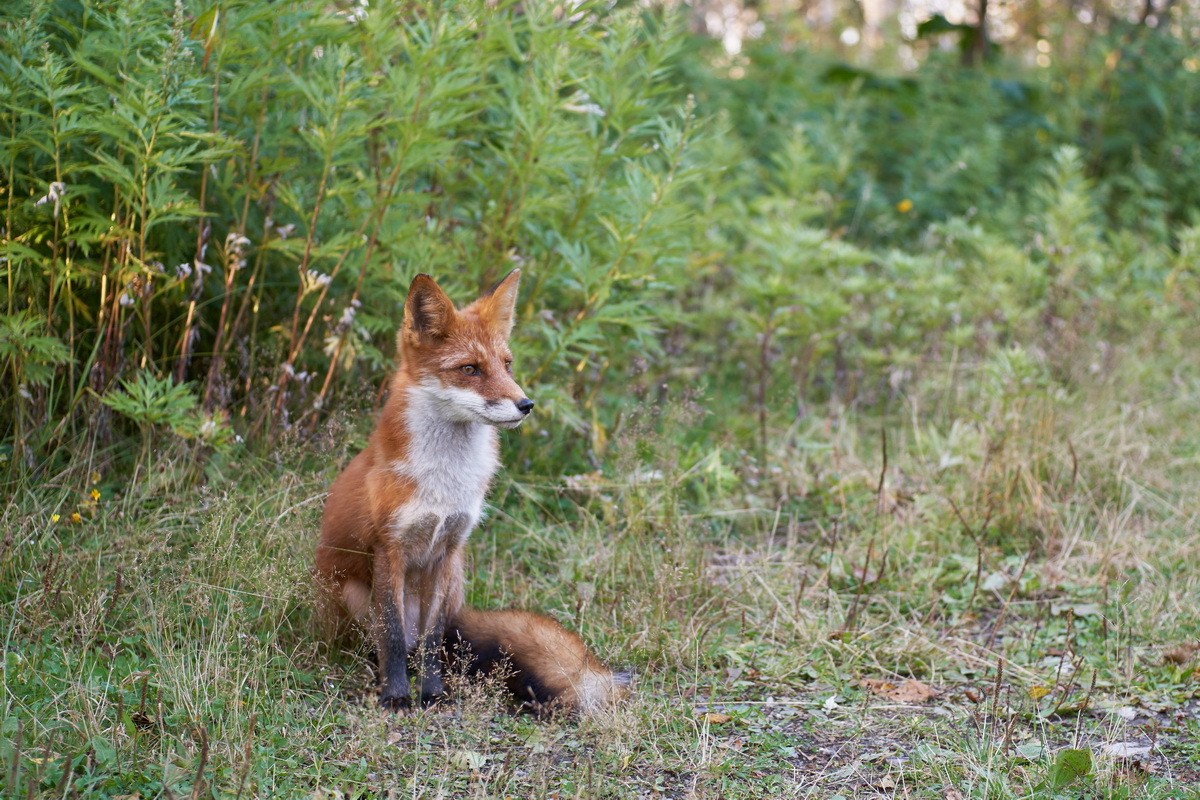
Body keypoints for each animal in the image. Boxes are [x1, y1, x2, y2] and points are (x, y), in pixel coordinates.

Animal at [314, 271, 624, 714]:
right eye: (470, 369)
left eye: (507, 364)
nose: (526, 404)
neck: (446, 483)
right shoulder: (389, 548)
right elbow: (391, 635)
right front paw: (396, 696)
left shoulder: (447, 549)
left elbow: (430, 638)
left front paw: (431, 694)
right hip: (351, 592)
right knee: (386, 644)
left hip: (455, 584)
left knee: (439, 646)